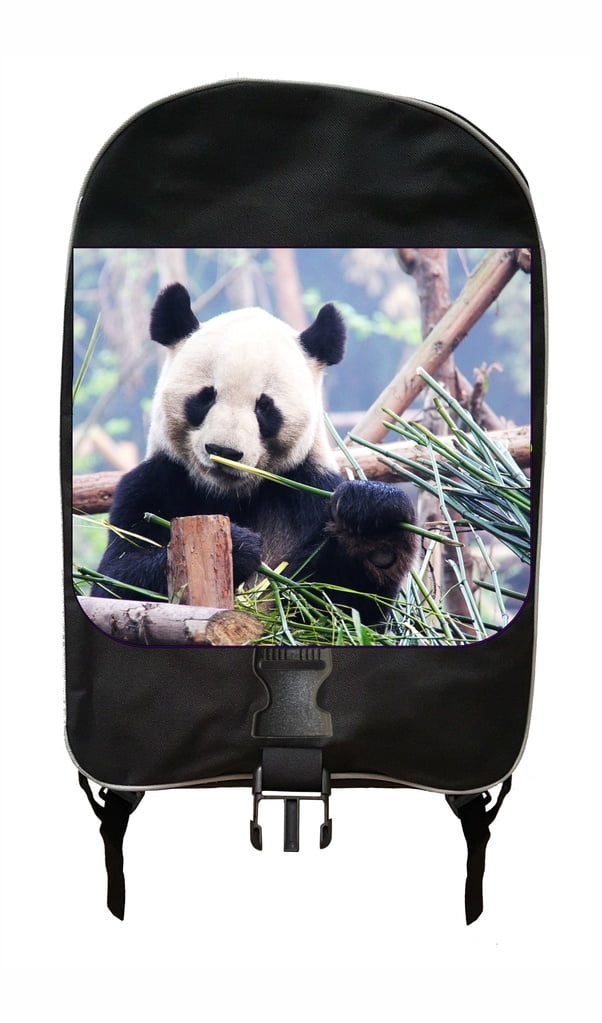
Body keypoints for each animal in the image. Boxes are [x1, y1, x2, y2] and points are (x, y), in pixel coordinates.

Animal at [92, 282, 418, 625]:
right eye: (206, 397)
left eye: (264, 407)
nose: (223, 451)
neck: (230, 495)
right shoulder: (151, 484)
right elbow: (115, 582)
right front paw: (238, 546)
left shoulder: (310, 490)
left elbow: (341, 608)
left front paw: (373, 522)